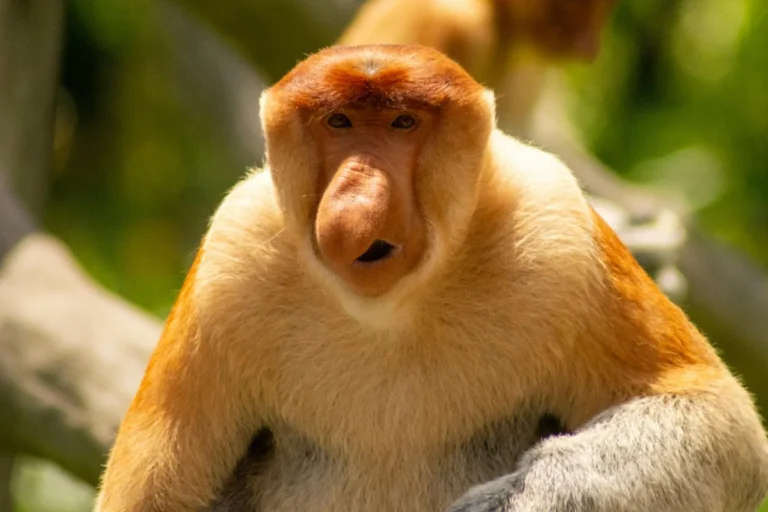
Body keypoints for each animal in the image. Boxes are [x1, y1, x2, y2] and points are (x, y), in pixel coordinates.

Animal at [94, 44, 768, 512]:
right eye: (339, 123)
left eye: (402, 123)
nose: (358, 197)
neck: (392, 308)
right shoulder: (231, 258)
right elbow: (151, 493)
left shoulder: (558, 227)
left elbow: (718, 421)